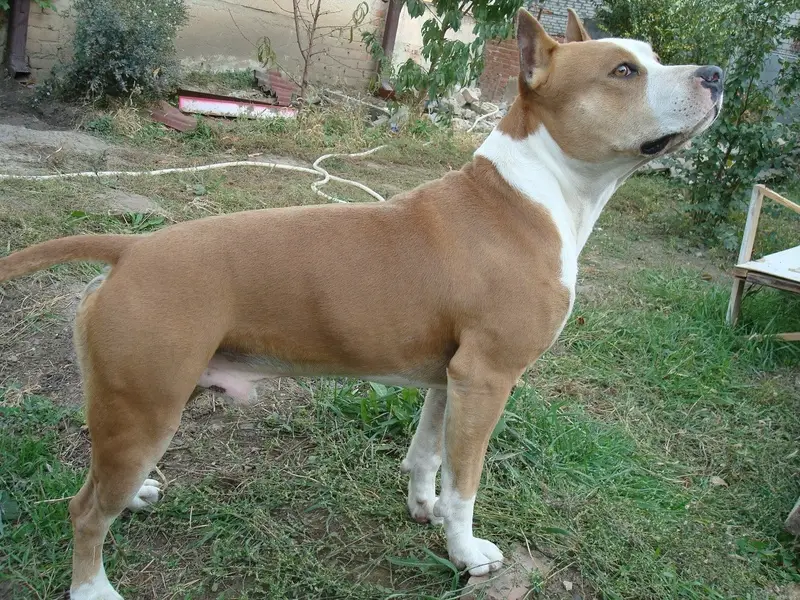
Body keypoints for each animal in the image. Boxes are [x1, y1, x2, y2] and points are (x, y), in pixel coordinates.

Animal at [0, 8, 723, 599]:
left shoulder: (452, 378)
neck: (534, 190)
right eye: (624, 70)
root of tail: (132, 248)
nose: (716, 74)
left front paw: (424, 508)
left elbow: (429, 455)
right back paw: (93, 587)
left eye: (653, 55)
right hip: (145, 404)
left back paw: (138, 494)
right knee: (84, 510)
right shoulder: (488, 379)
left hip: (139, 409)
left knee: (108, 481)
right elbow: (467, 483)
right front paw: (466, 553)